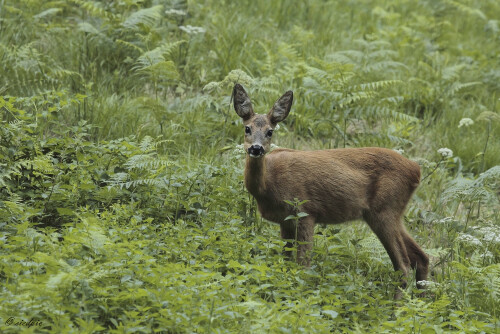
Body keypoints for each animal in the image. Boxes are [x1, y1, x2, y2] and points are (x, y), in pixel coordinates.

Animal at [232, 83, 428, 294]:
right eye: (247, 128)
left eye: (270, 131)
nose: (256, 148)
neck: (268, 184)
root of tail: (415, 170)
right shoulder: (285, 220)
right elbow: (286, 260)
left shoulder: (305, 212)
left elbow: (303, 265)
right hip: (391, 213)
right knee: (421, 257)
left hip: (385, 209)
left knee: (403, 265)